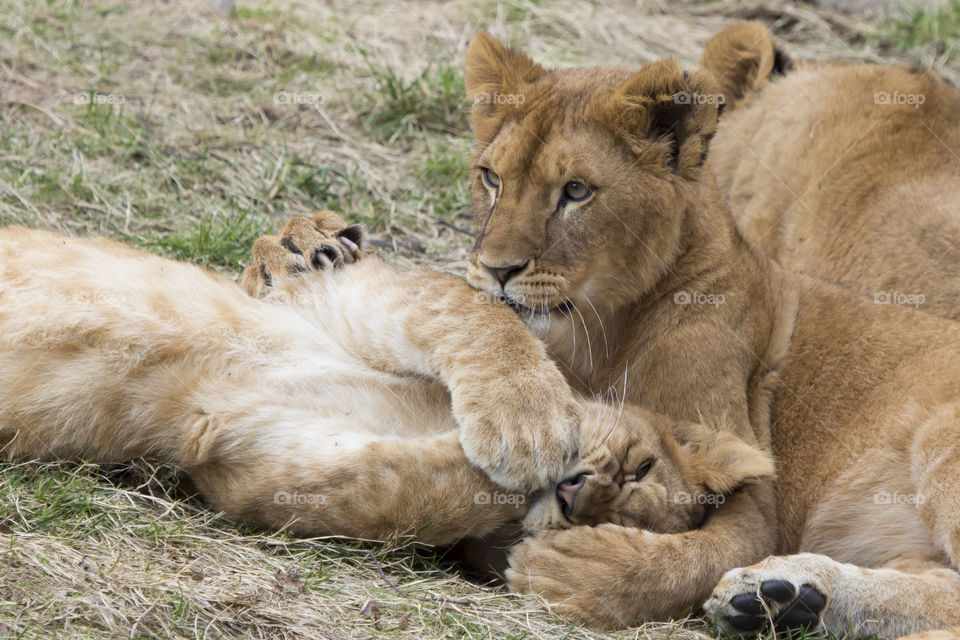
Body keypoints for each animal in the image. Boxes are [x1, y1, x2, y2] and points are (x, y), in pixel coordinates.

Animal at [0, 215, 771, 553]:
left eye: (612, 524)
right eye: (640, 467)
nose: (576, 495)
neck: (431, 412)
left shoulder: (240, 456)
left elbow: (420, 494)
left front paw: (511, 475)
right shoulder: (355, 299)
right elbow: (478, 314)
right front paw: (529, 425)